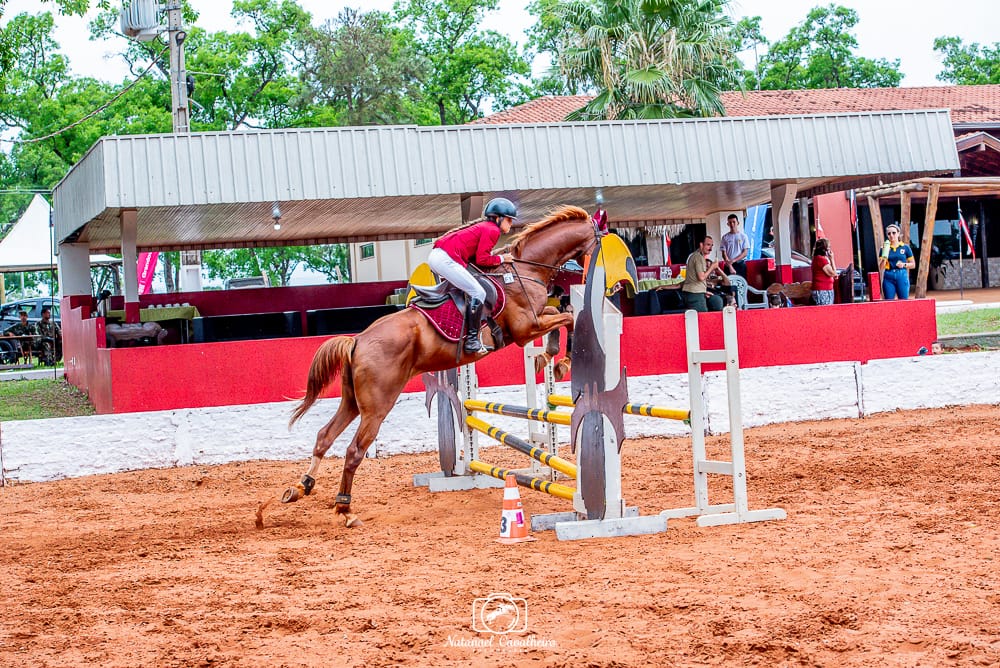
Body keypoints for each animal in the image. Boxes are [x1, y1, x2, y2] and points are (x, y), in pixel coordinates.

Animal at [266, 204, 596, 528]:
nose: (586, 274)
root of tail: (357, 341)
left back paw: (301, 488)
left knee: (324, 436)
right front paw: (557, 359)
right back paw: (345, 509)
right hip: (377, 406)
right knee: (354, 450)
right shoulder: (526, 328)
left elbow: (564, 311)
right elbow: (567, 317)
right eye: (598, 239)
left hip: (352, 402)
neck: (526, 270)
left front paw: (550, 358)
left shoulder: (536, 321)